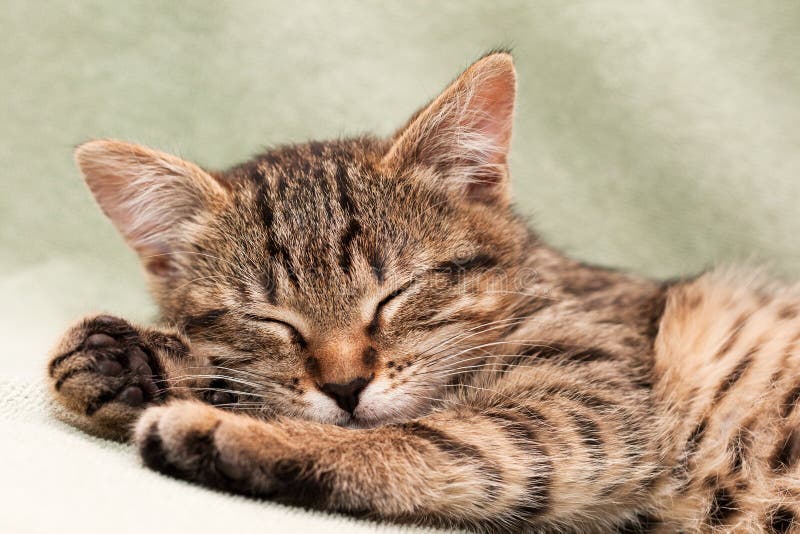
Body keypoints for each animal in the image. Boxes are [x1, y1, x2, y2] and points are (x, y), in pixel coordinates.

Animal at [47, 51, 800, 534]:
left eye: (396, 294)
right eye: (272, 319)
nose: (345, 385)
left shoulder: (593, 412)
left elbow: (424, 439)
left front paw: (223, 430)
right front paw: (130, 362)